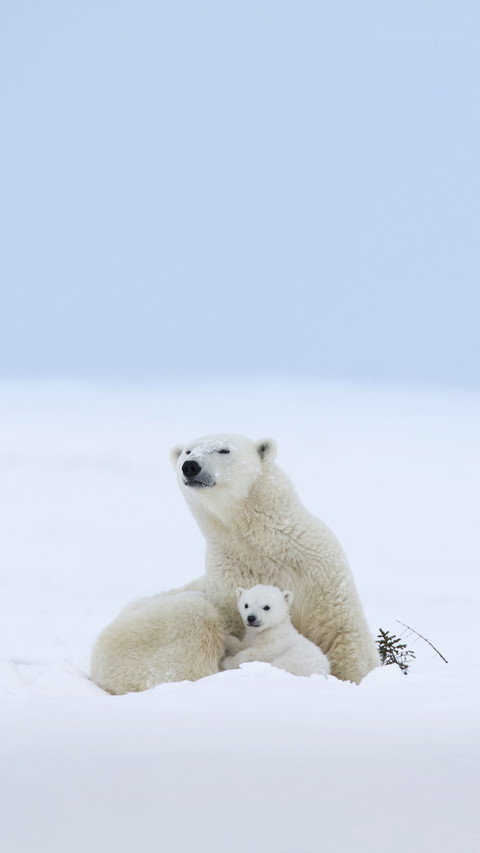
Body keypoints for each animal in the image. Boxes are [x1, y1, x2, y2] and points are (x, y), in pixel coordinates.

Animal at [90, 433, 379, 693]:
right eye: (188, 450)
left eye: (223, 449)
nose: (190, 466)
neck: (264, 545)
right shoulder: (229, 577)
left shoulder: (318, 565)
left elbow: (341, 631)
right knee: (194, 619)